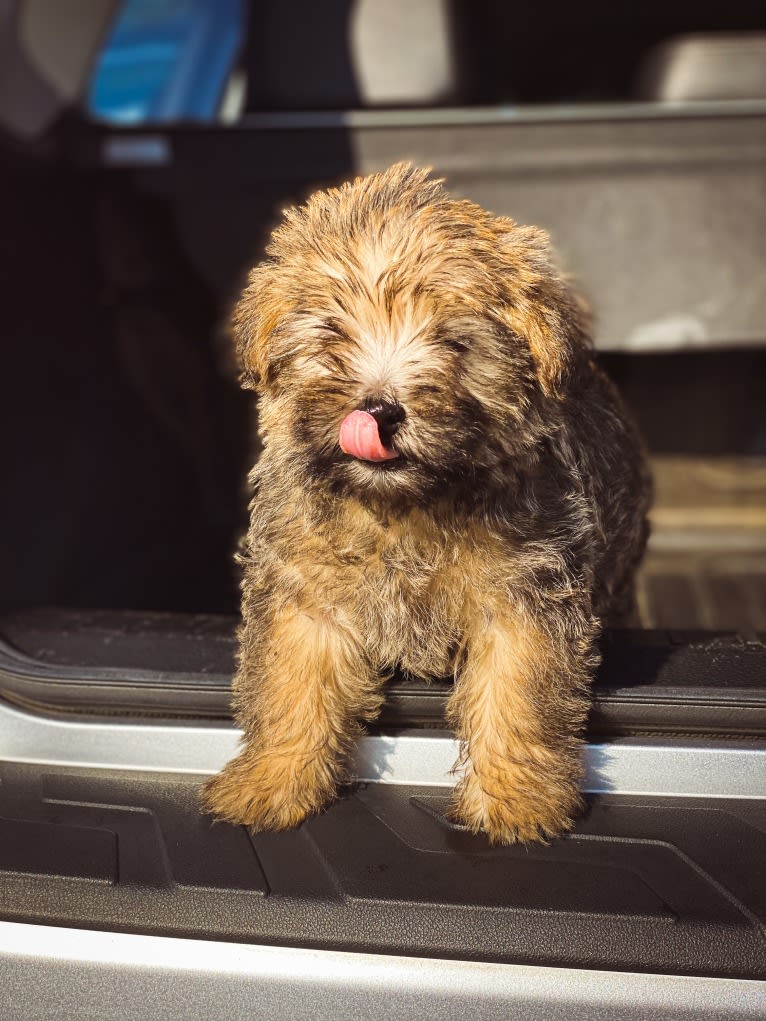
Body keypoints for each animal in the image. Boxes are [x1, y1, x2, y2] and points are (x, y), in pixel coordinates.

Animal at [201, 163, 649, 841]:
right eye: (331, 335)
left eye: (455, 344)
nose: (380, 409)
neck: (404, 509)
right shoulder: (304, 597)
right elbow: (289, 687)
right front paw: (272, 780)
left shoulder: (522, 599)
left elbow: (519, 694)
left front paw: (515, 798)